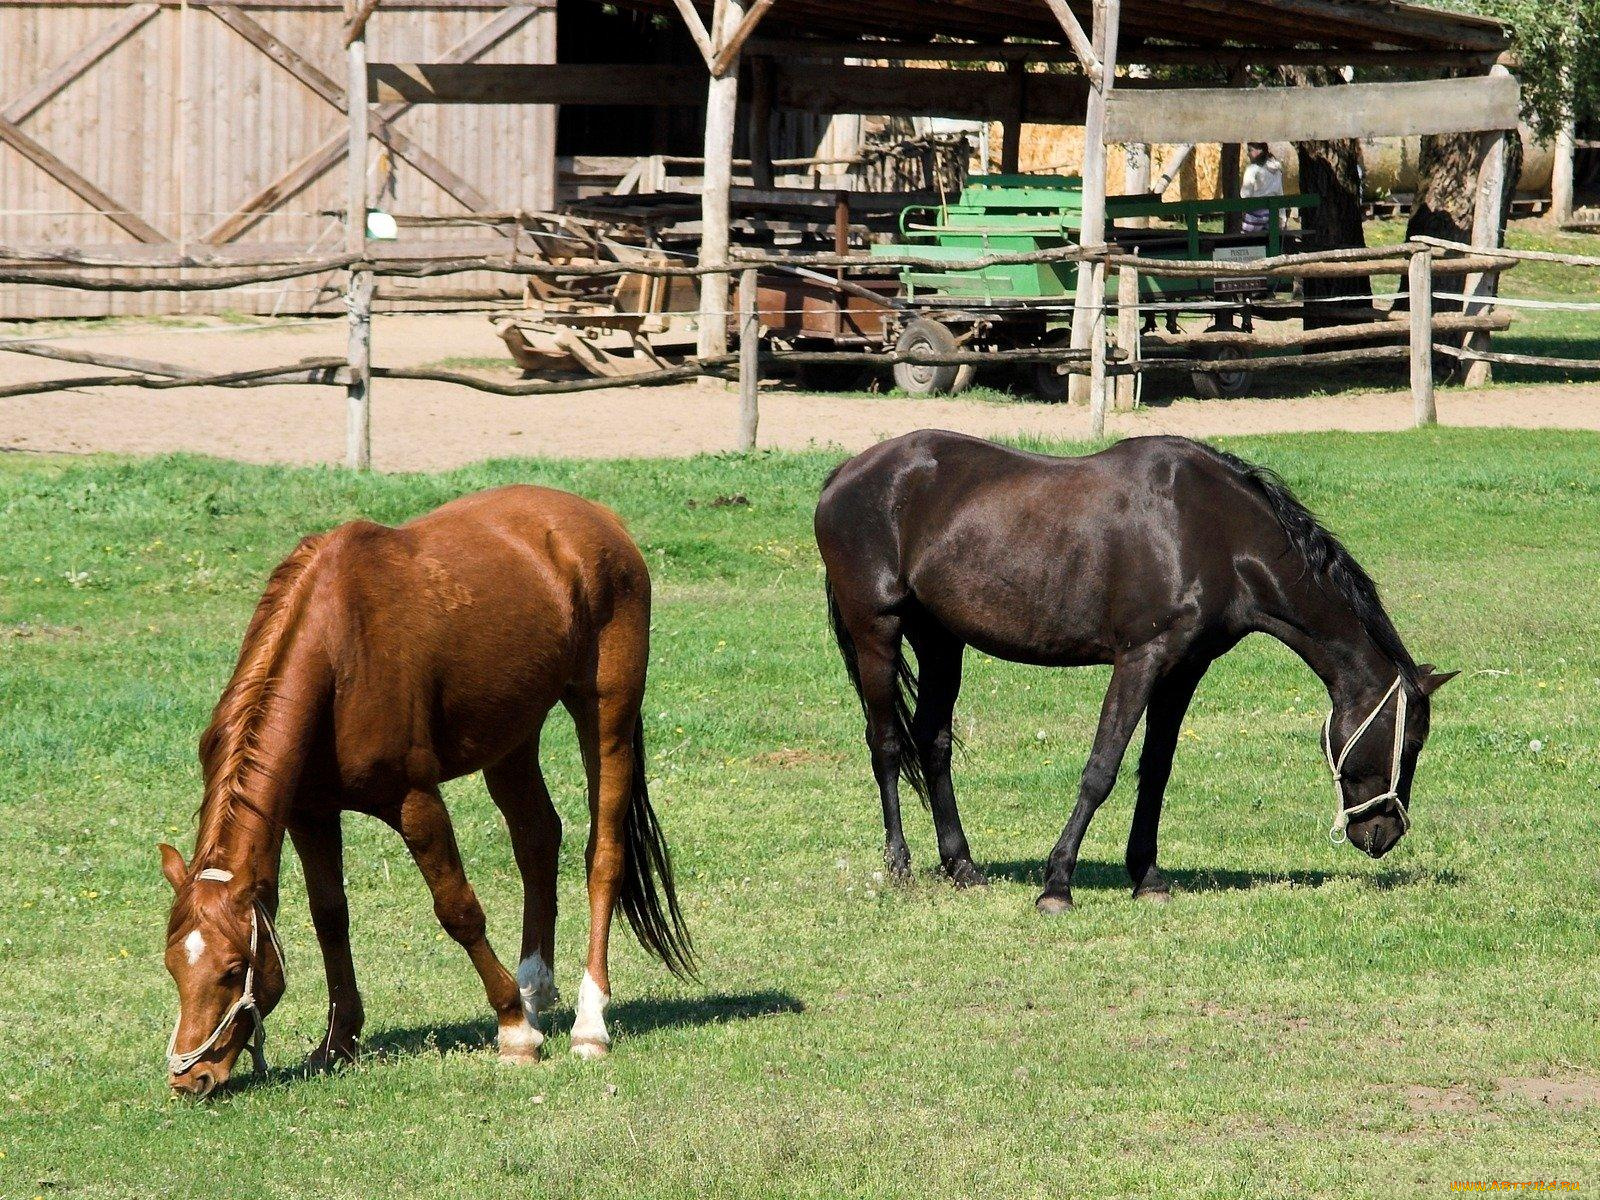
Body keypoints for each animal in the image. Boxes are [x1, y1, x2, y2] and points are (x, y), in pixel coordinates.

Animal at [156, 483, 694, 1094]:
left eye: (231, 969)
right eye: (173, 965)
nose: (190, 1078)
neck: (337, 652)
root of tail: (601, 521)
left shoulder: (415, 802)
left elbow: (458, 908)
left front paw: (512, 1030)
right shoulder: (310, 813)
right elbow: (330, 917)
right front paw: (337, 1043)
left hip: (606, 716)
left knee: (603, 855)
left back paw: (587, 1022)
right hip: (511, 738)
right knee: (537, 839)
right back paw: (533, 990)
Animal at [819, 432, 1459, 908]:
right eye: (1410, 741)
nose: (1383, 834)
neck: (1213, 533)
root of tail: (846, 473)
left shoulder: (1182, 669)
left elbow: (1154, 771)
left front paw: (1146, 876)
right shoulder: (1140, 658)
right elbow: (1101, 769)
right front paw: (1057, 884)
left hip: (940, 641)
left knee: (932, 741)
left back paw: (961, 866)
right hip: (878, 632)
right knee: (885, 744)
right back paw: (899, 865)